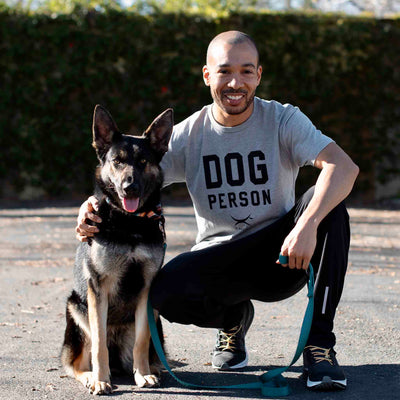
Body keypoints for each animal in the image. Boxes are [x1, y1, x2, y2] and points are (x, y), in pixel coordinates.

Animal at [60, 104, 172, 396]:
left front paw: (142, 374)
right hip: (77, 309)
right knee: (76, 363)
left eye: (142, 162)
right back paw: (90, 376)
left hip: (156, 316)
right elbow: (99, 344)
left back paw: (153, 369)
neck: (129, 222)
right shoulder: (97, 288)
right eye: (117, 161)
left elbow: (142, 340)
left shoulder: (147, 290)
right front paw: (101, 380)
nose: (129, 187)